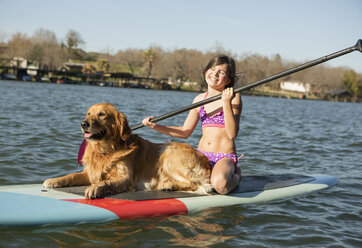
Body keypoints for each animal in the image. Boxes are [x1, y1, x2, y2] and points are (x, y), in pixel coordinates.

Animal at [43, 102, 212, 198]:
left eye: (102, 114)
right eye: (88, 113)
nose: (83, 123)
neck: (106, 150)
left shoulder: (125, 177)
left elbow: (106, 182)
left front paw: (95, 188)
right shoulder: (90, 173)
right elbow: (71, 176)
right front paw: (54, 180)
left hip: (169, 155)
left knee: (199, 185)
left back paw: (169, 184)